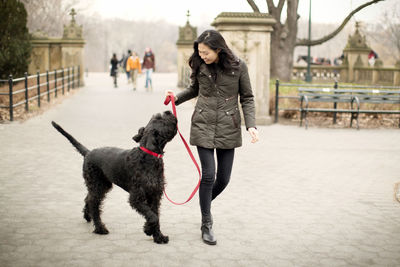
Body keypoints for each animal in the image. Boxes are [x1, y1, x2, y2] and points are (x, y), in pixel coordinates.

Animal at [51, 110, 177, 244]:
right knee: (93, 203)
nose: (168, 111)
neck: (149, 155)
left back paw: (87, 216)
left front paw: (158, 236)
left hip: (102, 185)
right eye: (160, 118)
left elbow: (155, 214)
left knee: (88, 198)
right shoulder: (136, 197)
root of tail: (88, 153)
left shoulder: (155, 194)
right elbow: (153, 216)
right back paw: (100, 228)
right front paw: (148, 230)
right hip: (97, 184)